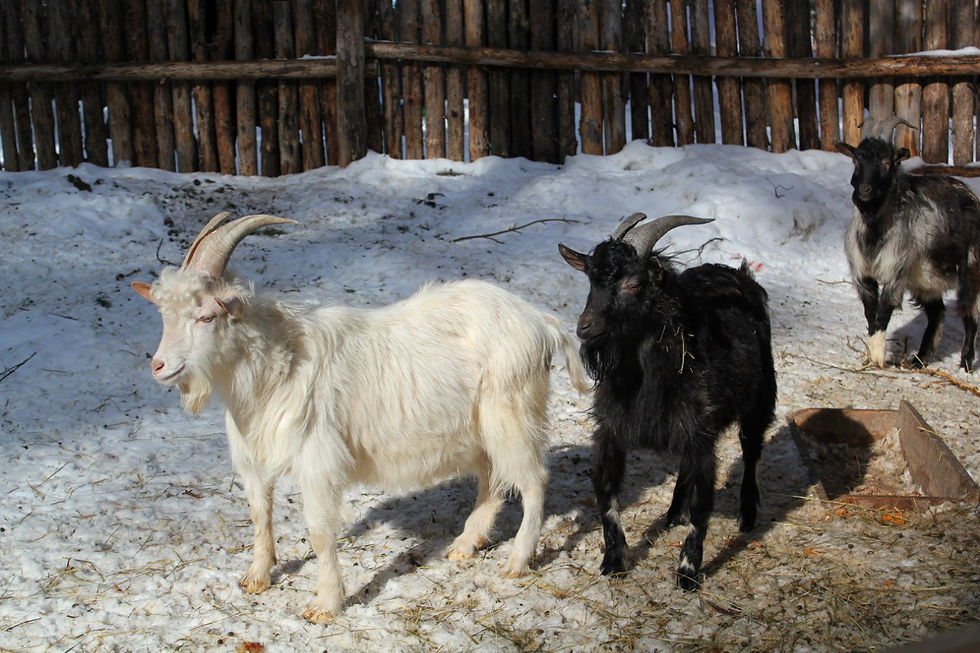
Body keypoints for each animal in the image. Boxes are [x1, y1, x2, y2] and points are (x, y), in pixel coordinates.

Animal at [132, 212, 588, 622]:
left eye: (206, 316)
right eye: (164, 315)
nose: (158, 366)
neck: (279, 365)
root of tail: (541, 322)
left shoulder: (317, 460)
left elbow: (319, 531)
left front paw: (325, 604)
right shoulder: (254, 457)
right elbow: (260, 515)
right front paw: (257, 577)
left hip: (512, 413)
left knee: (532, 480)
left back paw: (518, 561)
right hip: (481, 427)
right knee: (492, 477)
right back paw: (464, 545)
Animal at [558, 213, 776, 590]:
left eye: (634, 285)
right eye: (590, 281)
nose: (585, 327)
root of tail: (739, 274)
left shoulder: (702, 433)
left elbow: (703, 504)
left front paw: (688, 571)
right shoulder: (612, 429)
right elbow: (607, 494)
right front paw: (614, 561)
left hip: (759, 399)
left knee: (751, 451)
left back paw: (747, 514)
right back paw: (673, 513)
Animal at [835, 117, 980, 371]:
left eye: (887, 162)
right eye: (856, 160)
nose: (864, 190)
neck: (875, 232)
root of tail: (970, 194)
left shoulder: (895, 271)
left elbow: (884, 310)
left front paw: (877, 357)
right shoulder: (864, 275)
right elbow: (871, 312)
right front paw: (870, 355)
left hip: (970, 267)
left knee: (970, 314)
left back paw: (966, 364)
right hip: (925, 278)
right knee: (937, 313)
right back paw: (920, 359)